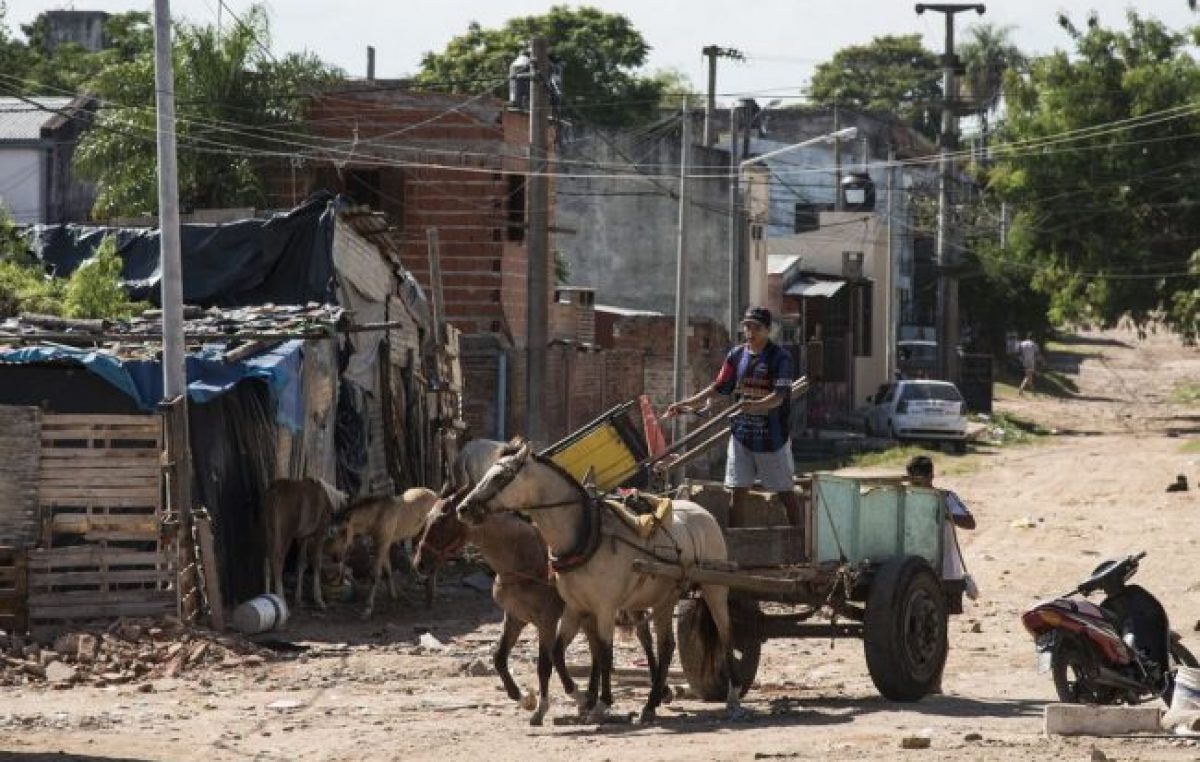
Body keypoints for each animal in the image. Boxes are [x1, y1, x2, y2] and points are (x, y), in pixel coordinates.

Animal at [262, 480, 348, 612]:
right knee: (277, 561)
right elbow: (316, 562)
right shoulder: (319, 533)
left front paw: (299, 600)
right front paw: (319, 600)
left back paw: (267, 597)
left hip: (269, 534)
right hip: (284, 535)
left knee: (267, 561)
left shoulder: (304, 537)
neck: (328, 500)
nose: (338, 558)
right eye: (344, 532)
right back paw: (282, 601)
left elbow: (301, 563)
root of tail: (274, 492)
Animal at [331, 489, 439, 619]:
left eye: (344, 531)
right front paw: (393, 596)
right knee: (413, 554)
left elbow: (374, 575)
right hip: (411, 534)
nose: (335, 557)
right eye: (332, 532)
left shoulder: (382, 545)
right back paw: (417, 580)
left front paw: (367, 609)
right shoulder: (385, 545)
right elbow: (387, 571)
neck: (378, 516)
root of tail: (434, 494)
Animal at [456, 441, 739, 720]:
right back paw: (651, 704)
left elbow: (604, 652)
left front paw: (602, 702)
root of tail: (703, 512)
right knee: (665, 645)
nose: (463, 508)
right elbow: (558, 653)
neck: (586, 537)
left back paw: (732, 696)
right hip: (663, 598)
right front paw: (576, 699)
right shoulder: (575, 607)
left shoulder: (604, 608)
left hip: (714, 588)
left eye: (500, 476)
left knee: (724, 635)